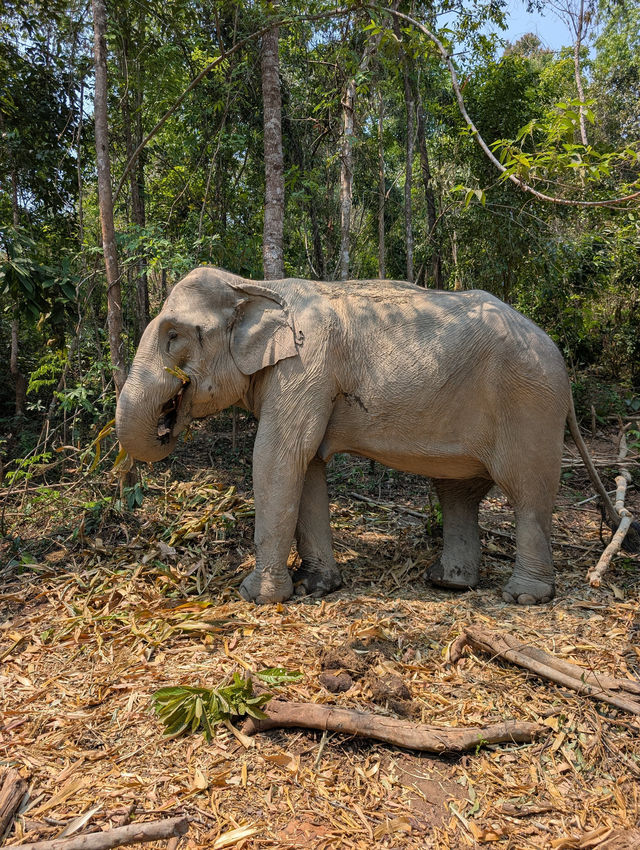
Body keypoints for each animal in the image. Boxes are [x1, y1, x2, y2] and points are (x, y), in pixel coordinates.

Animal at [115, 266, 598, 605]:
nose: (167, 423)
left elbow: (277, 456)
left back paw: (524, 596)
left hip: (531, 405)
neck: (255, 284)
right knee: (458, 492)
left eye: (174, 335)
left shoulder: (308, 365)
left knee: (528, 492)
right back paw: (448, 583)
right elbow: (307, 464)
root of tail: (556, 353)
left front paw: (255, 596)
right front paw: (315, 586)